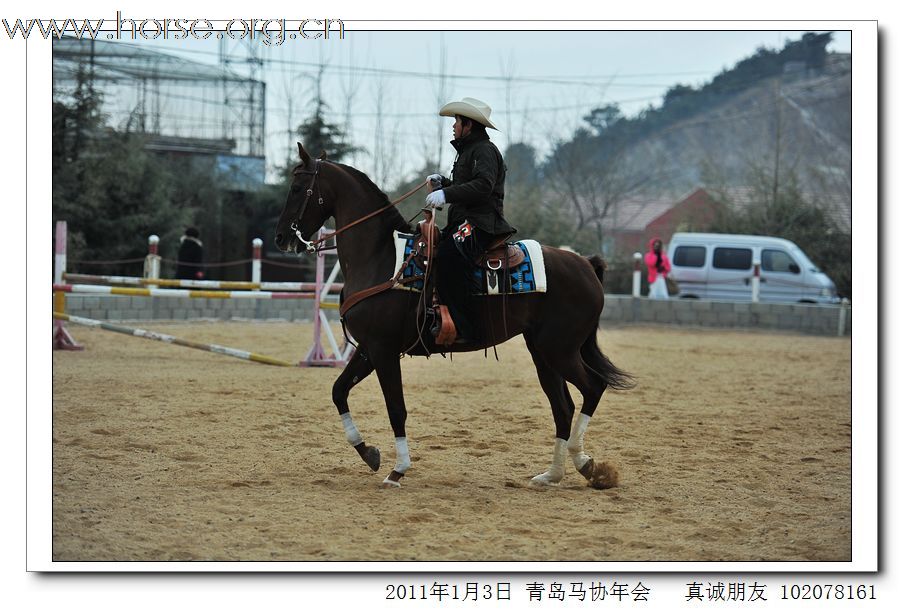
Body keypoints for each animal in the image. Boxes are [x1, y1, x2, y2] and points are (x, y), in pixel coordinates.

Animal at [272, 142, 632, 488]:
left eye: (297, 187)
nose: (281, 237)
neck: (380, 257)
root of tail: (585, 264)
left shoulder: (383, 350)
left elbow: (396, 409)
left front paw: (398, 470)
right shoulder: (368, 349)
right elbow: (339, 391)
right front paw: (369, 453)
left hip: (560, 350)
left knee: (593, 388)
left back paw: (588, 466)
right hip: (543, 352)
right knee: (563, 406)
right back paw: (554, 474)